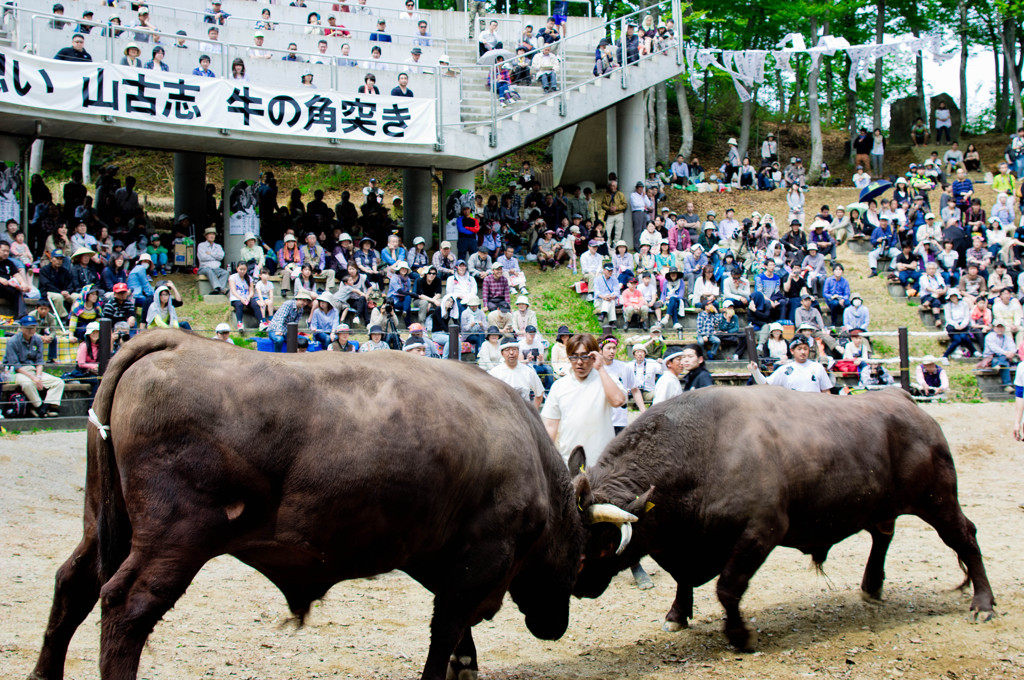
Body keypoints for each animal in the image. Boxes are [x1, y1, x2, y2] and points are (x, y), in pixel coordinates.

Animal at [29, 329, 585, 680]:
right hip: (174, 540)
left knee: (74, 582)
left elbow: (457, 638)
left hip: (102, 520)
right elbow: (446, 630)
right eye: (583, 557)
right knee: (125, 605)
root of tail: (177, 341)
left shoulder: (439, 557)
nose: (555, 625)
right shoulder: (480, 561)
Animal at [569, 385, 991, 651]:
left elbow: (727, 587)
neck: (702, 451)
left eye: (603, 546)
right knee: (882, 535)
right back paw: (871, 586)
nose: (577, 588)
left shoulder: (761, 531)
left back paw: (983, 604)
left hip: (939, 500)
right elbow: (683, 579)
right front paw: (677, 615)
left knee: (965, 537)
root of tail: (900, 397)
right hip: (880, 503)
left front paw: (739, 636)